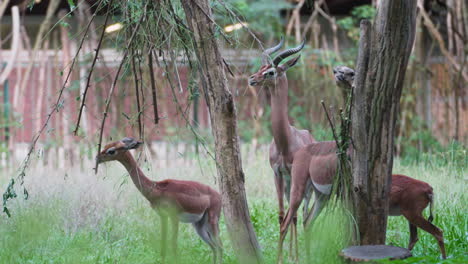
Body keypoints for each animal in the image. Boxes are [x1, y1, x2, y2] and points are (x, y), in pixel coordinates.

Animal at [95, 137, 223, 264]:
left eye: (111, 151)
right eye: (106, 146)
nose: (97, 158)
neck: (156, 189)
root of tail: (218, 195)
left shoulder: (174, 216)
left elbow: (173, 244)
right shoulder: (163, 216)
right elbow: (163, 244)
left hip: (212, 220)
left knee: (220, 245)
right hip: (199, 225)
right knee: (213, 246)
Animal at [247, 37, 316, 260]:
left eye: (271, 71)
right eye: (261, 67)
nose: (252, 79)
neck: (285, 142)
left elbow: (291, 216)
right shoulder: (277, 173)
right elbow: (280, 215)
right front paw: (283, 256)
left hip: (305, 187)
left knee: (302, 216)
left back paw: (300, 255)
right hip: (287, 183)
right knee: (293, 216)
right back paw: (293, 254)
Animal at [278, 66, 446, 262]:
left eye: (351, 72)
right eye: (338, 70)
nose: (338, 73)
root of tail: (430, 190)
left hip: (323, 194)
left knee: (305, 221)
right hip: (303, 185)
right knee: (289, 222)